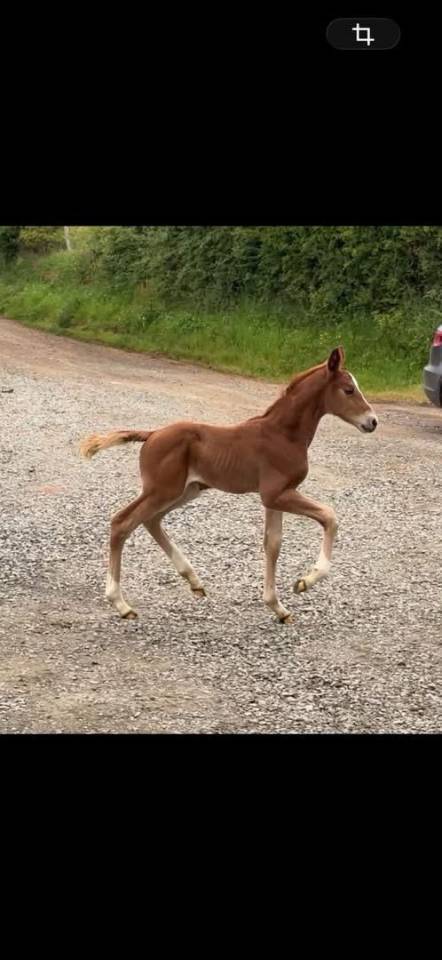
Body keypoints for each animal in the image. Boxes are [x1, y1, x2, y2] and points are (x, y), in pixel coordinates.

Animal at [80, 346, 378, 623]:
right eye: (349, 390)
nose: (372, 422)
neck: (284, 434)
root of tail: (152, 434)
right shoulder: (276, 494)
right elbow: (329, 517)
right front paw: (305, 582)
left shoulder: (275, 496)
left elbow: (273, 544)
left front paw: (278, 608)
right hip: (162, 490)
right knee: (122, 522)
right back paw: (121, 604)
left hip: (186, 490)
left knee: (151, 521)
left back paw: (194, 581)